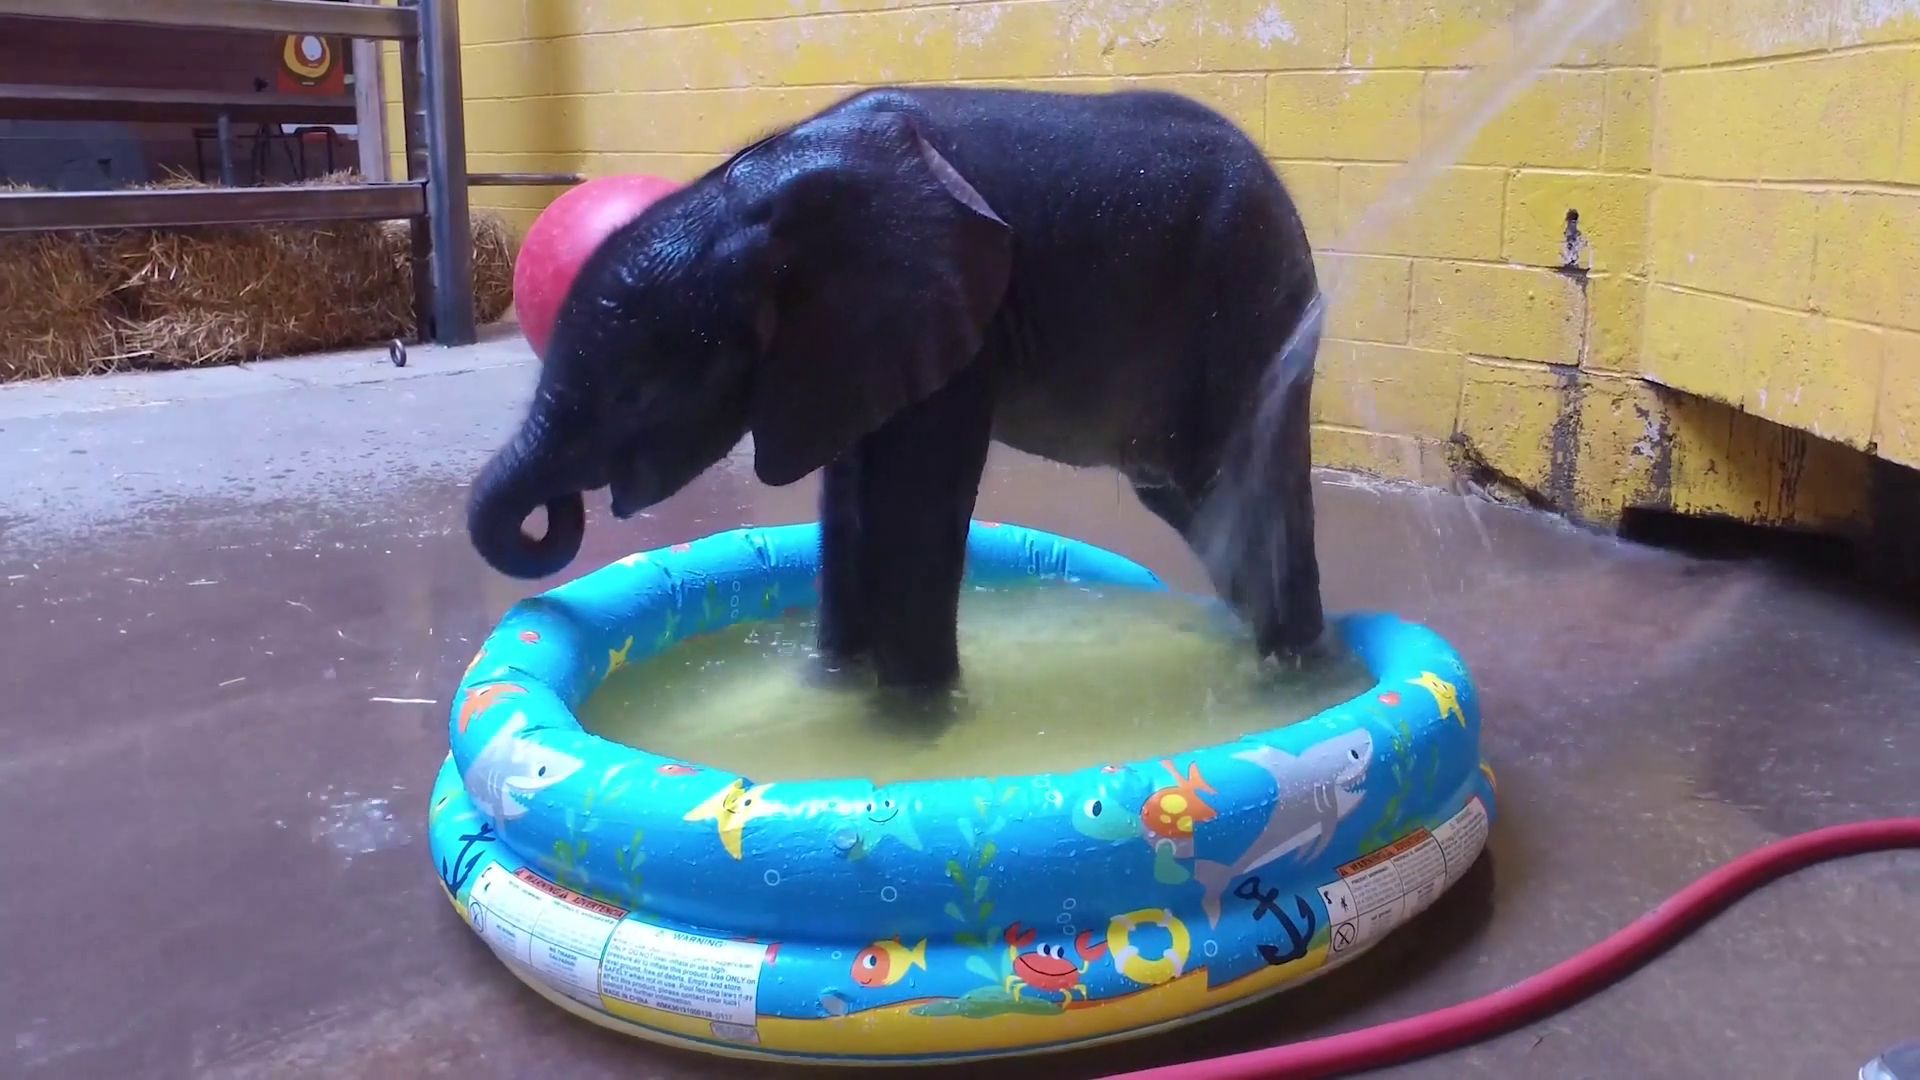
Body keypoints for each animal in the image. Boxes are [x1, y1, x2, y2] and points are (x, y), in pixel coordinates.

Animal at [467, 85, 1337, 695]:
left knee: (1239, 487)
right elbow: (850, 499)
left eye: (635, 397)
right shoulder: (849, 346)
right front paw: (833, 695)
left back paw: (1292, 683)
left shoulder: (958, 323)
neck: (746, 201)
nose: (559, 512)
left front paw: (915, 729)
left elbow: (910, 511)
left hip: (1248, 313)